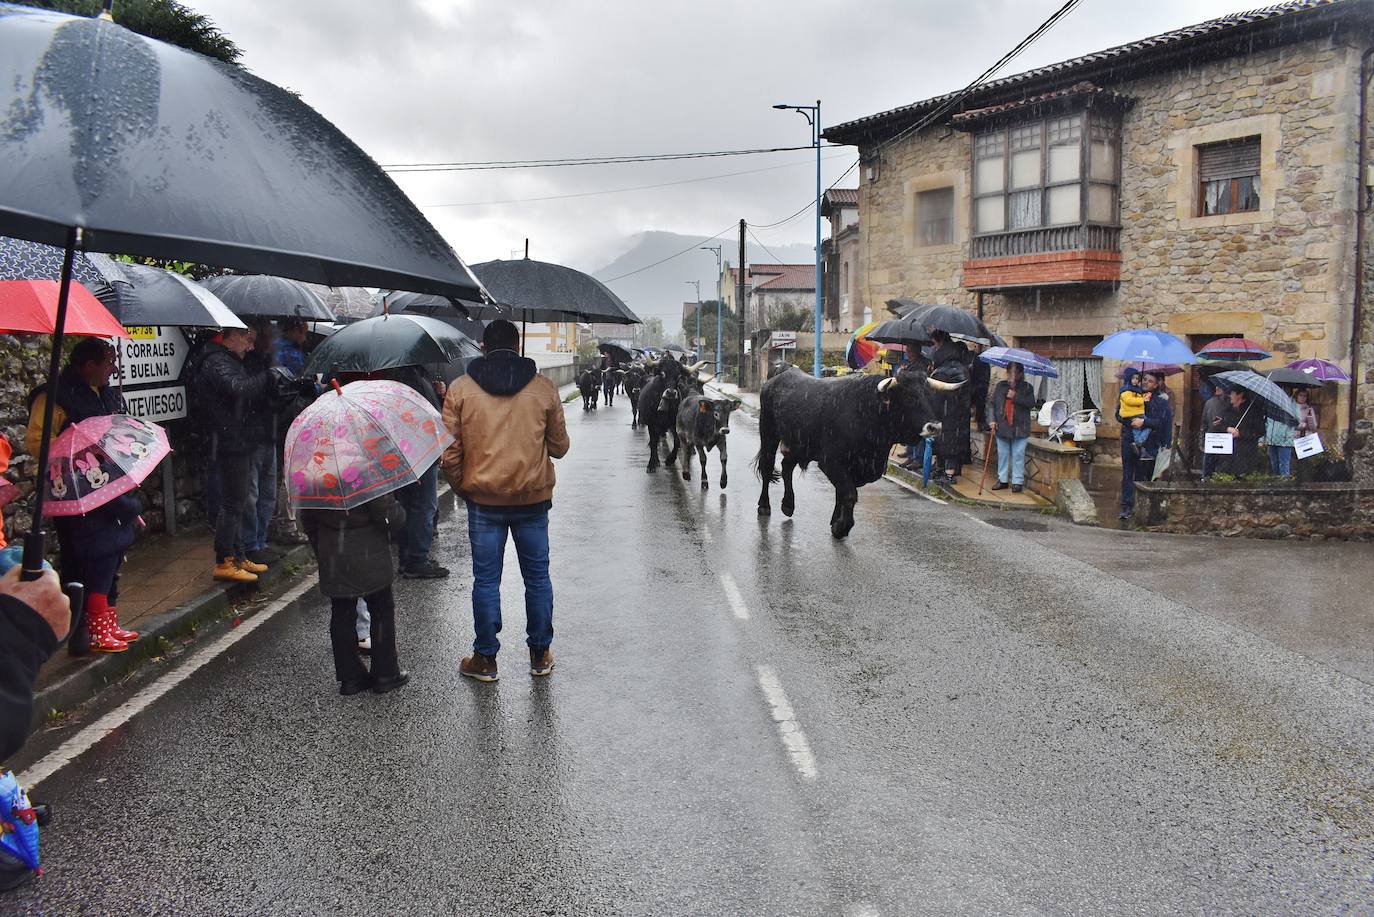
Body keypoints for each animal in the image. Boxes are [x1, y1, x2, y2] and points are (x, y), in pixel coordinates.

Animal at [752, 362, 967, 538]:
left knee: (786, 466)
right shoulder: (832, 462)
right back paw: (764, 506)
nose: (934, 427)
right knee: (767, 467)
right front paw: (842, 527)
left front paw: (835, 521)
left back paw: (788, 505)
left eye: (930, 397)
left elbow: (842, 492)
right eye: (909, 398)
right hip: (769, 434)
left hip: (800, 445)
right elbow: (849, 493)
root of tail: (781, 374)